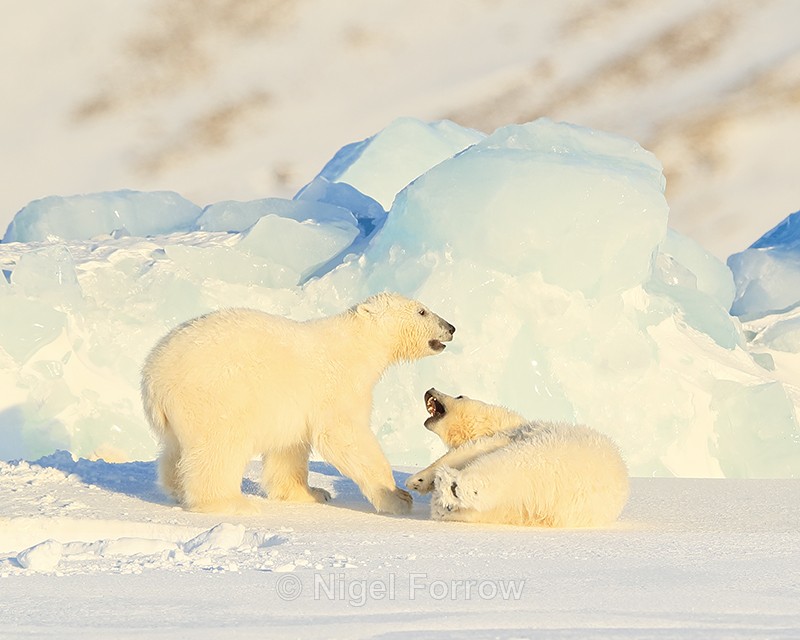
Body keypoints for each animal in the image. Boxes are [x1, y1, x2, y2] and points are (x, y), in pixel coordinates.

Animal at [140, 293, 455, 515]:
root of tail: (154, 377)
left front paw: (313, 493)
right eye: (422, 310)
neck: (358, 344)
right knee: (219, 446)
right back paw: (230, 502)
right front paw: (397, 497)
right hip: (217, 394)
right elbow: (344, 436)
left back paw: (177, 489)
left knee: (175, 450)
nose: (450, 327)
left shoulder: (293, 405)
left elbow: (288, 448)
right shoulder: (337, 385)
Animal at [405, 389, 629, 527]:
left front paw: (417, 480)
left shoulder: (512, 433)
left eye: (459, 395)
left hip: (545, 452)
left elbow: (470, 450)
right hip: (537, 509)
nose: (431, 389)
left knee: (501, 468)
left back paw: (452, 486)